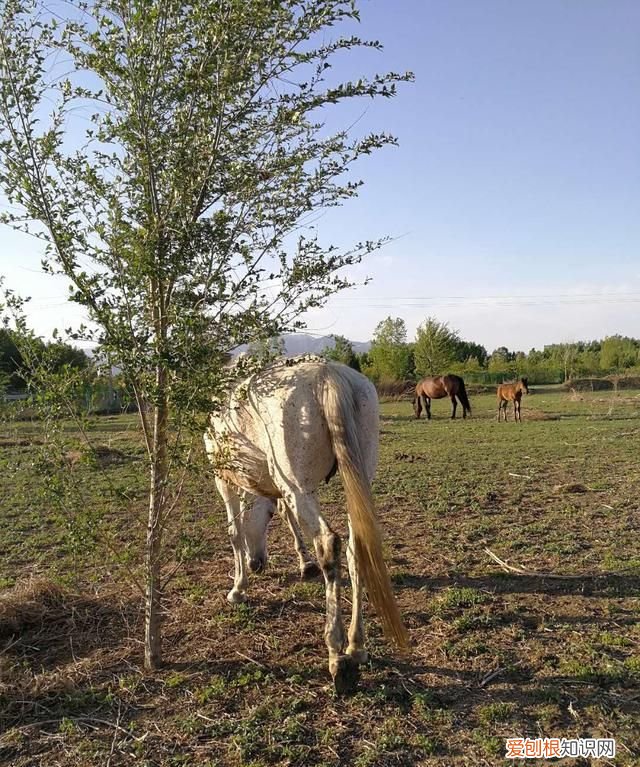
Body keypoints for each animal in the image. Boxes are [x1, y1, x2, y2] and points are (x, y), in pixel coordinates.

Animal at [204, 356, 408, 692]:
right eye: (267, 517)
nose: (258, 564)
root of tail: (328, 374)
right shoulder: (285, 491)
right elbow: (289, 518)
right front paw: (304, 562)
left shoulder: (224, 479)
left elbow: (234, 532)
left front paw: (238, 588)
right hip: (353, 480)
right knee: (355, 551)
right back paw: (356, 646)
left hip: (299, 487)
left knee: (329, 543)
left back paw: (338, 657)